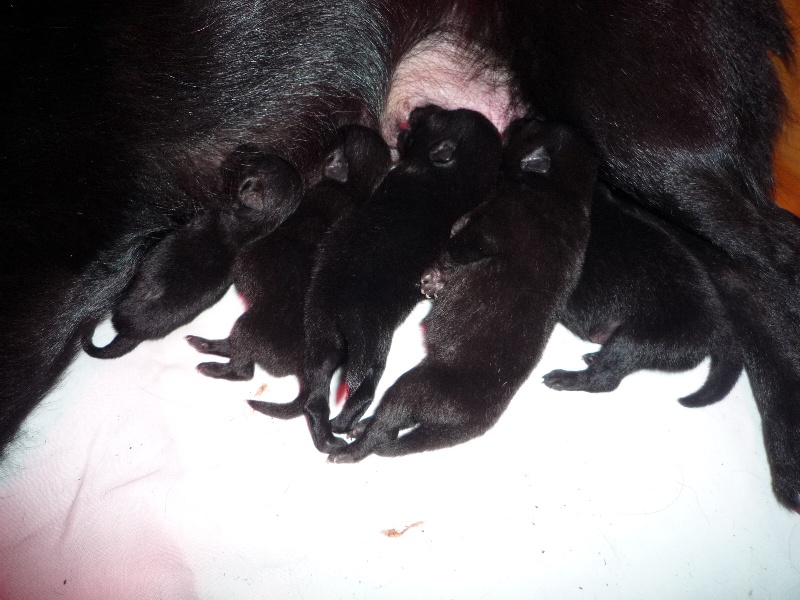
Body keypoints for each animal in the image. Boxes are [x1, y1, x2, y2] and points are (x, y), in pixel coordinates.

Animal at [186, 125, 391, 379]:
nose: (338, 127)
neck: (352, 188)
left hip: (247, 328)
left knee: (243, 368)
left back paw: (212, 365)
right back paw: (204, 344)